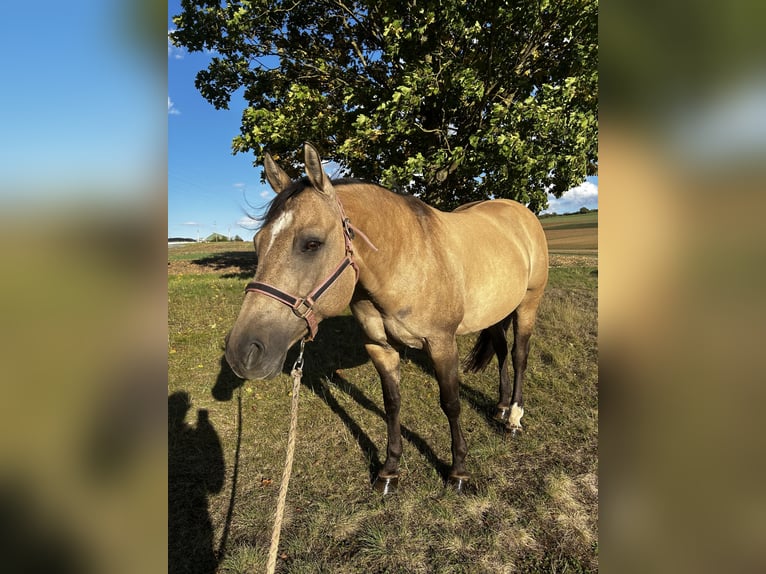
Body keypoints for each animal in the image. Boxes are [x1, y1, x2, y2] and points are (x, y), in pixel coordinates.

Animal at [225, 143, 549, 493]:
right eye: (258, 243)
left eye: (311, 243)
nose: (242, 352)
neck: (406, 260)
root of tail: (519, 212)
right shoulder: (380, 347)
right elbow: (392, 403)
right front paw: (390, 470)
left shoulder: (442, 344)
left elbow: (451, 403)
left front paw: (458, 470)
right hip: (496, 311)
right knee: (501, 351)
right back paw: (501, 408)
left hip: (528, 304)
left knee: (518, 355)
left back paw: (513, 419)